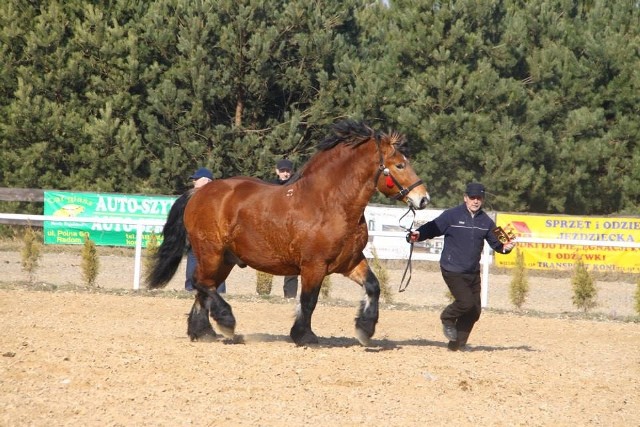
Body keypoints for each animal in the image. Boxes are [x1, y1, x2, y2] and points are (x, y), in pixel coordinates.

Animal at [148, 120, 430, 348]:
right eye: (399, 165)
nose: (423, 198)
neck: (330, 204)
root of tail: (199, 192)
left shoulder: (349, 262)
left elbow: (373, 286)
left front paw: (365, 328)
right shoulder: (314, 265)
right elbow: (308, 301)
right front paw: (304, 336)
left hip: (224, 259)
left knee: (204, 287)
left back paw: (203, 331)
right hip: (210, 252)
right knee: (200, 283)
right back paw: (225, 321)